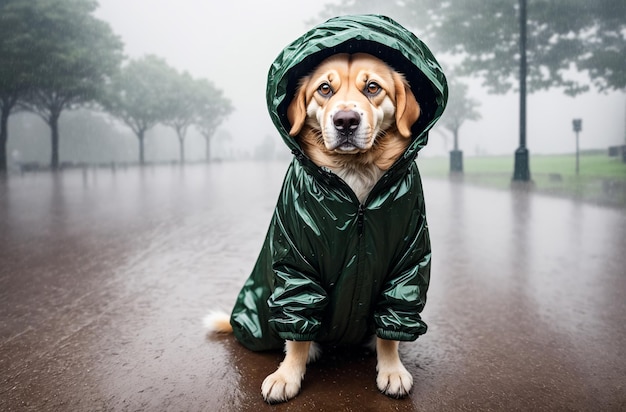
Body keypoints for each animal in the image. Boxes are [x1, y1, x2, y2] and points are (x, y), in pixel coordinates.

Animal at [205, 52, 420, 402]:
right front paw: (287, 375)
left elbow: (391, 330)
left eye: (373, 87)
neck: (353, 178)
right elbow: (297, 330)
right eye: (325, 89)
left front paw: (392, 369)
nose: (345, 121)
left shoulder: (407, 265)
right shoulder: (295, 265)